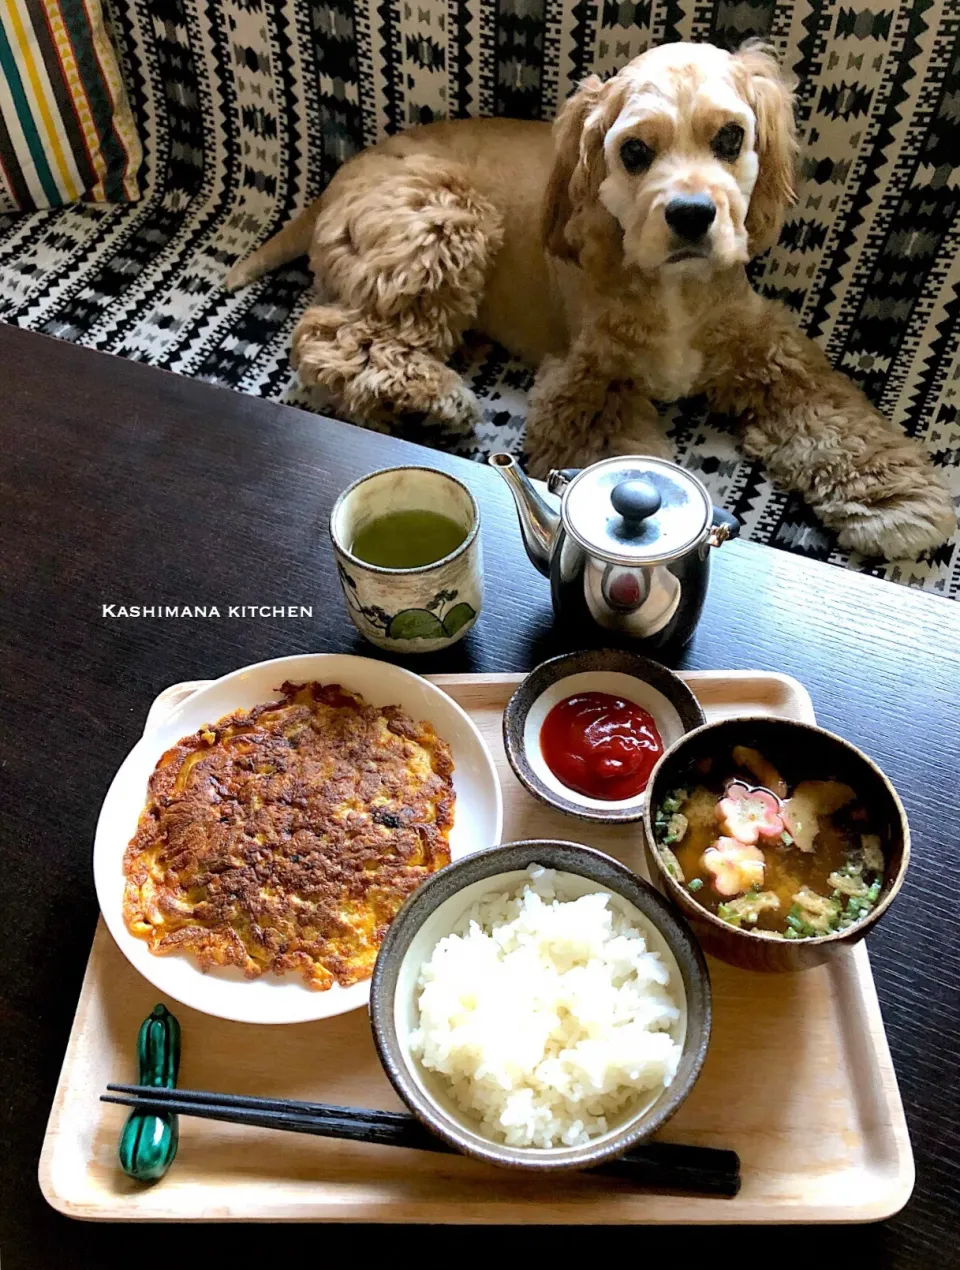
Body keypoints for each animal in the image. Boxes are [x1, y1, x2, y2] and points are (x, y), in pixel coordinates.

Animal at [227, 39, 960, 561]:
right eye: (633, 151)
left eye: (730, 137)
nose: (691, 214)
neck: (673, 289)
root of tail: (339, 174)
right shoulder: (590, 381)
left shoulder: (765, 344)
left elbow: (832, 415)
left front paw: (899, 499)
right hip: (438, 222)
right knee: (334, 333)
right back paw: (425, 397)